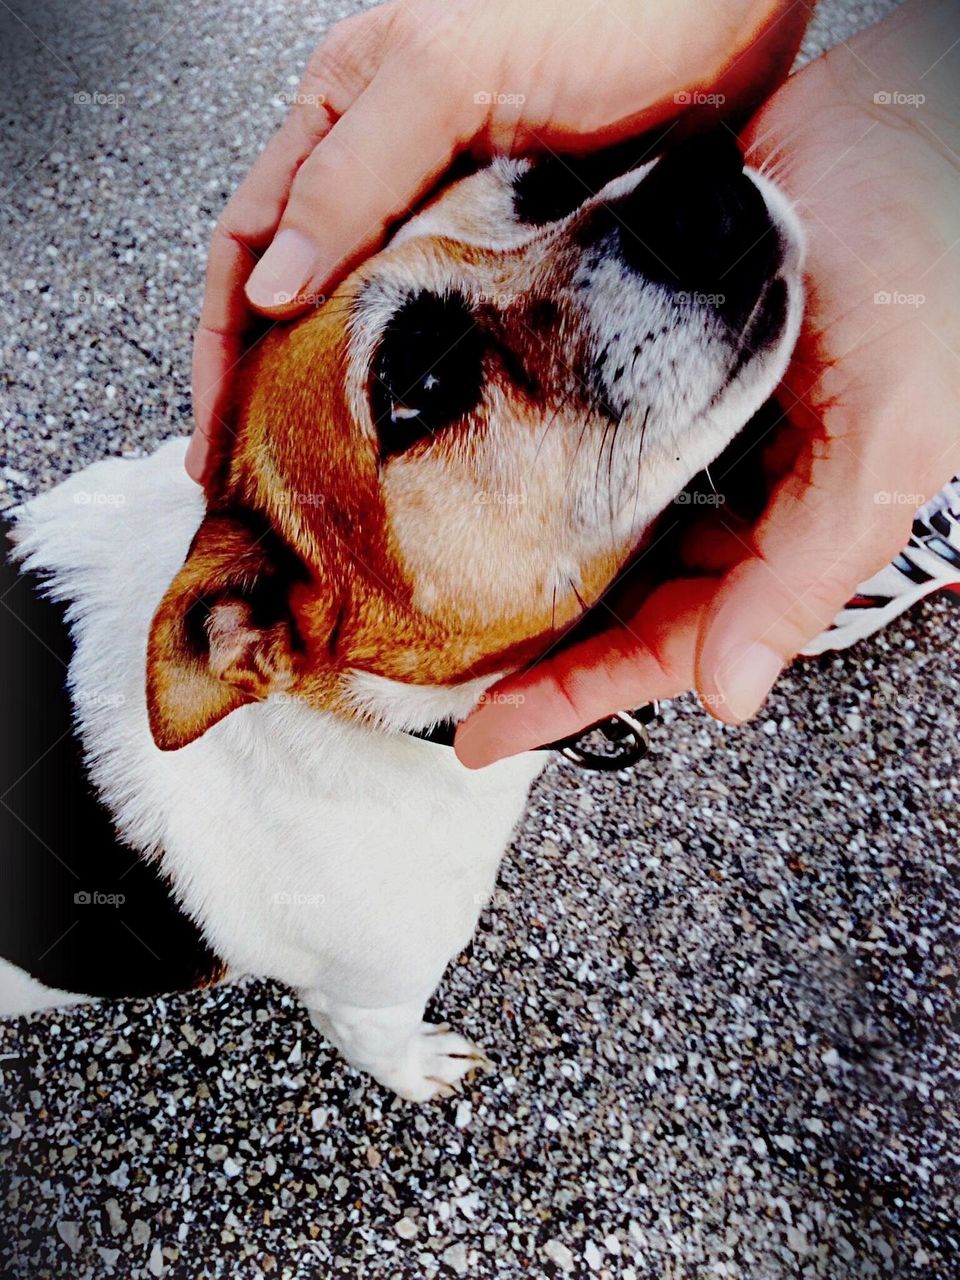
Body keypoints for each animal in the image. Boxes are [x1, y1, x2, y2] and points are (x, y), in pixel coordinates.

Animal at [1, 129, 803, 1100]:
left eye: (554, 177)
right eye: (418, 378)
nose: (703, 187)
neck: (378, 716)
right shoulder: (370, 995)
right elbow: (381, 1044)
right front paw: (424, 1070)